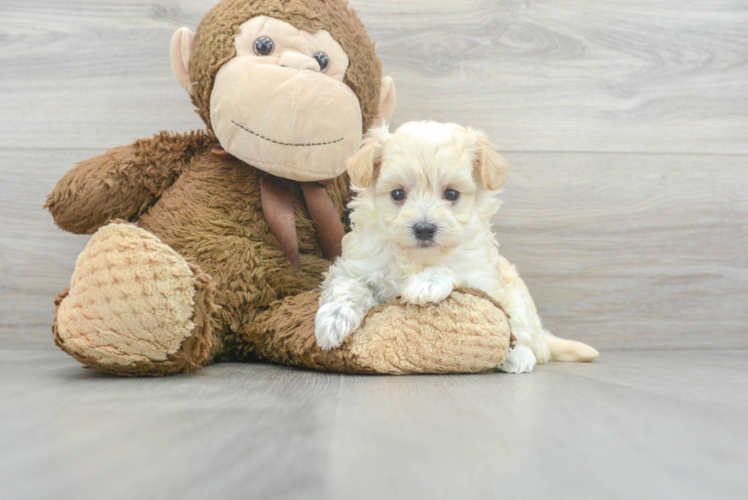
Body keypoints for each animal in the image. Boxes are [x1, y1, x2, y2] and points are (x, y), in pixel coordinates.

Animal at [312, 120, 600, 372]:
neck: (416, 258)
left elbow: (454, 266)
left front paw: (426, 284)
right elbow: (347, 286)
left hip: (520, 304)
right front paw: (333, 321)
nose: (424, 228)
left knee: (529, 342)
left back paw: (517, 357)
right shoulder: (355, 265)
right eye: (397, 194)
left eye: (451, 194)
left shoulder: (480, 273)